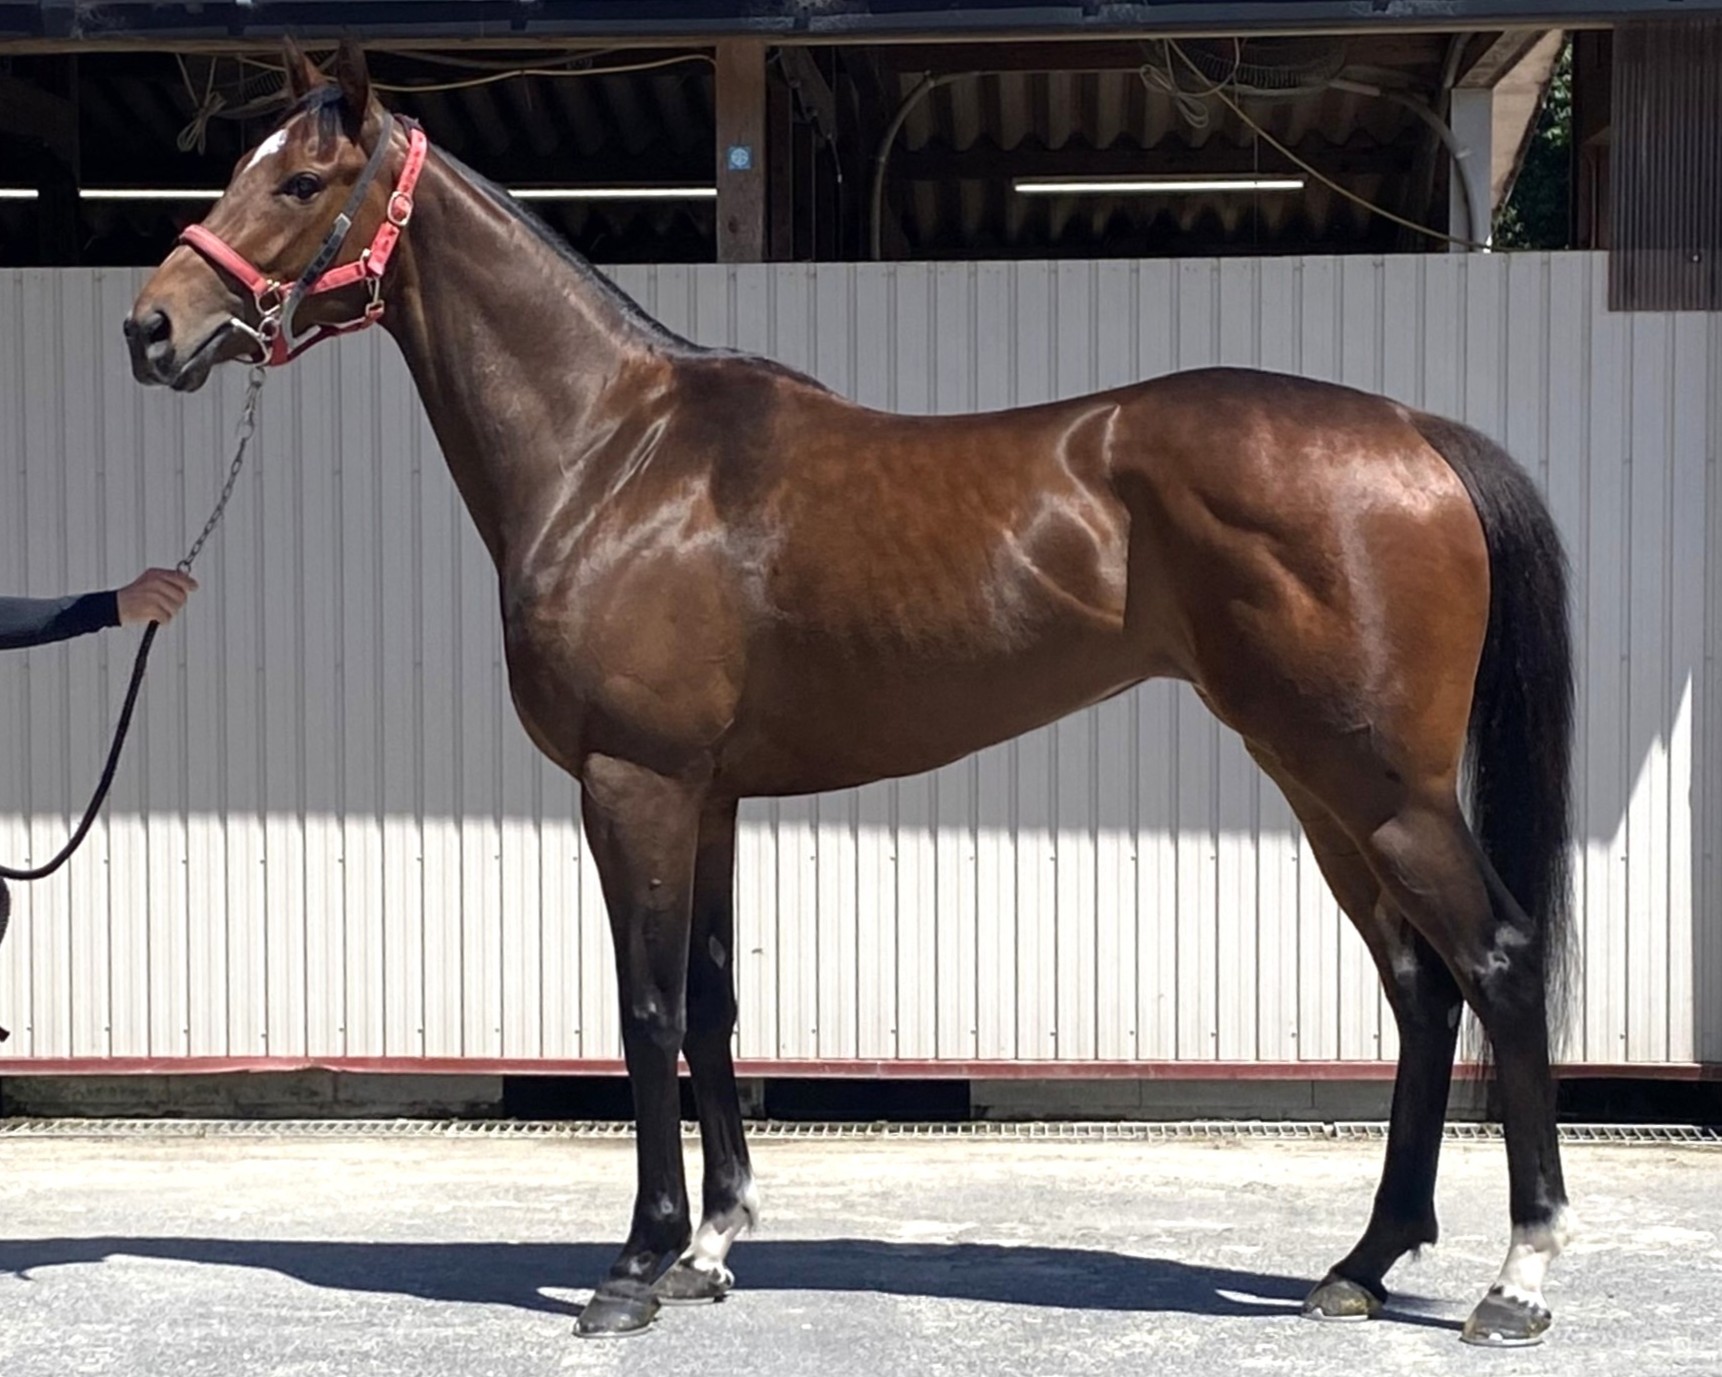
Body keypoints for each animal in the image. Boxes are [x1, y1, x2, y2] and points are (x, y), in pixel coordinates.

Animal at [124, 38, 1577, 1350]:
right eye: (242, 167)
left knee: (1498, 965)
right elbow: (713, 1005)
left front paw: (633, 1267)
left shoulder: (632, 785)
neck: (615, 455)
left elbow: (645, 1011)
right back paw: (1363, 1263)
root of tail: (1414, 436)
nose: (151, 328)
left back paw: (1517, 1279)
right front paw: (711, 1251)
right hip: (1320, 787)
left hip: (1377, 788)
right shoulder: (707, 798)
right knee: (1421, 988)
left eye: (302, 180)